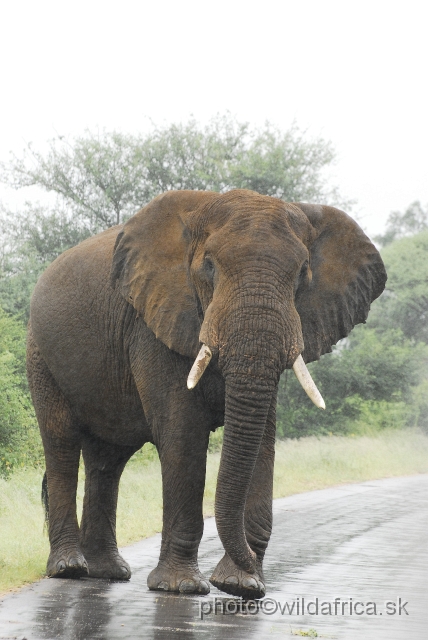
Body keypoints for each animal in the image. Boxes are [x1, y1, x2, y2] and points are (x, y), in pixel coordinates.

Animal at [27, 189, 388, 600]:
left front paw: (240, 584)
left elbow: (262, 438)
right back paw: (69, 569)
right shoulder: (155, 322)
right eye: (210, 267)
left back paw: (109, 573)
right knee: (61, 443)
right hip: (40, 352)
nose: (253, 584)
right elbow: (183, 434)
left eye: (302, 274)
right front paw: (182, 587)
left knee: (108, 459)